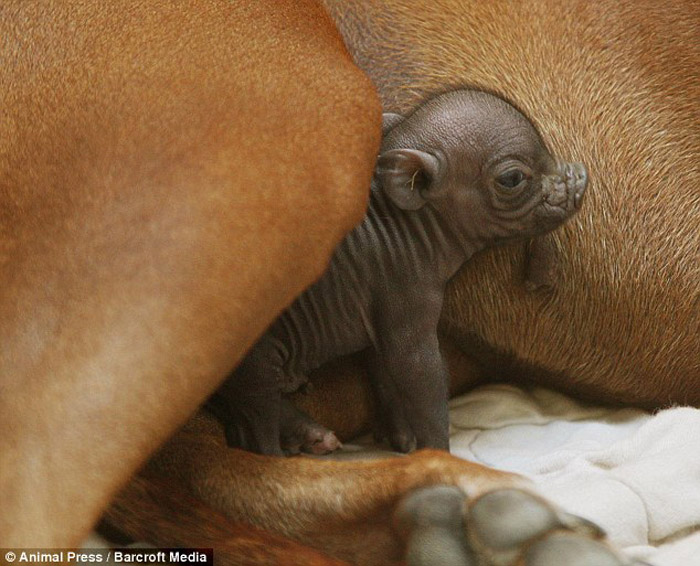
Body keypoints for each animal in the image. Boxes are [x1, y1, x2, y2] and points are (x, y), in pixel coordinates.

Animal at [2, 0, 696, 564]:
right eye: (511, 178)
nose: (577, 180)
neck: (405, 223)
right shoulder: (408, 316)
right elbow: (419, 381)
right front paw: (432, 439)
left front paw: (404, 441)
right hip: (274, 156)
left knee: (209, 465)